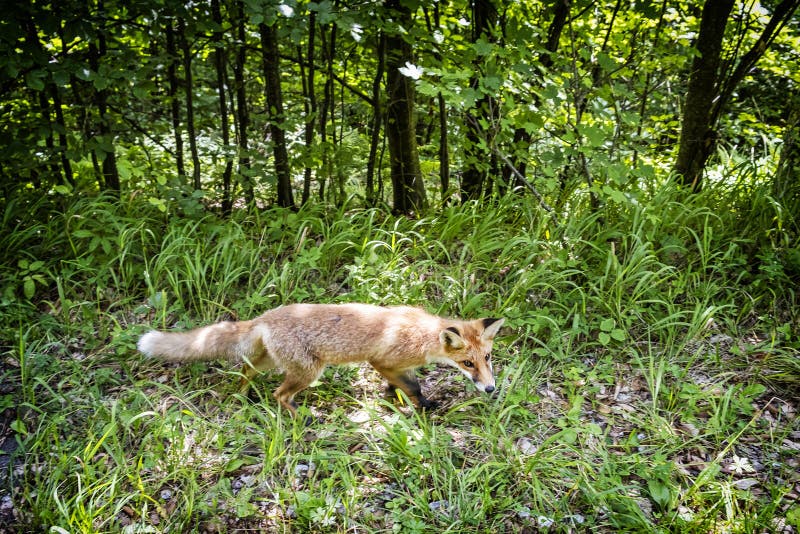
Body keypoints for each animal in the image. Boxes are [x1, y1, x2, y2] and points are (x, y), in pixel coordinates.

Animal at [134, 304, 504, 416]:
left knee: (245, 371)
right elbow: (412, 387)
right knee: (279, 394)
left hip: (273, 362)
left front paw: (394, 398)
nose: (491, 390)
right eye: (468, 364)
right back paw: (302, 417)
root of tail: (265, 317)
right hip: (310, 371)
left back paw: (241, 396)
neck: (421, 335)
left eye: (487, 358)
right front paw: (425, 407)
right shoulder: (383, 361)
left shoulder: (398, 367)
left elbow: (401, 386)